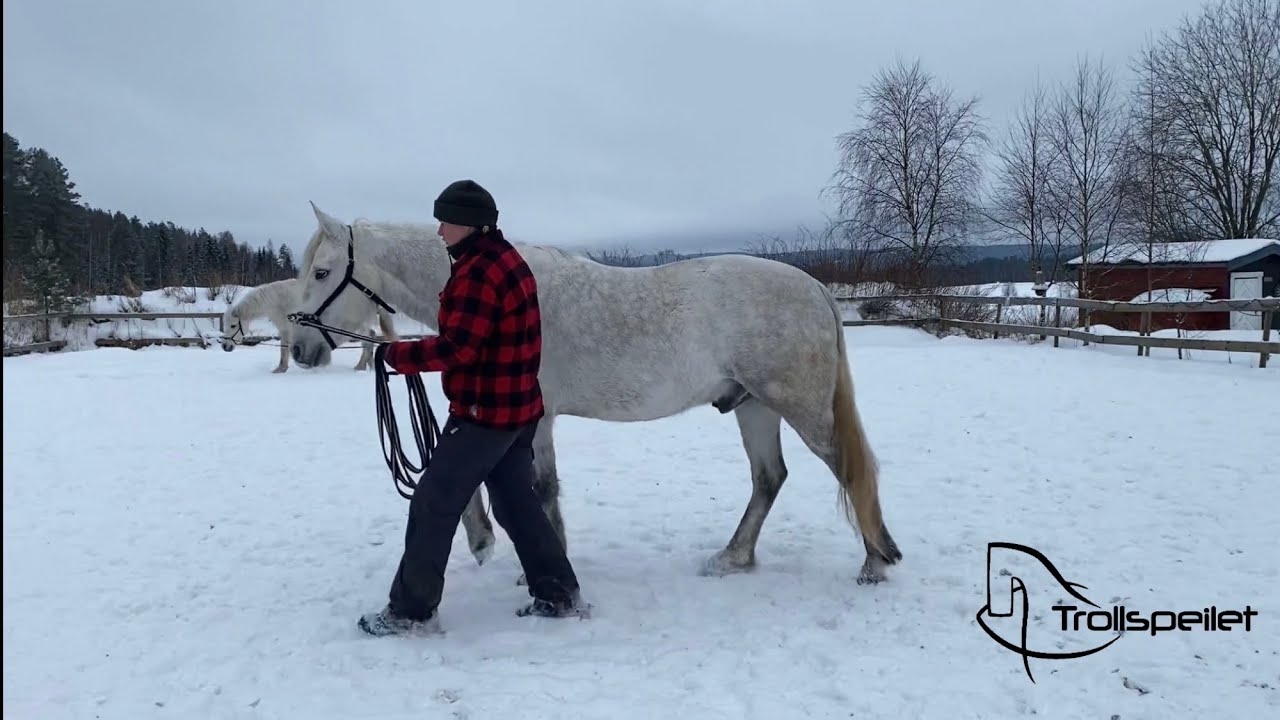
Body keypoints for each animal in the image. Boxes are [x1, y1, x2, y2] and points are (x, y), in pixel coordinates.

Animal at [219, 278, 398, 373]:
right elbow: (284, 349)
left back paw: (361, 366)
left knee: (368, 339)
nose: (225, 347)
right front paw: (281, 369)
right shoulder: (285, 328)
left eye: (233, 326)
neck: (280, 300)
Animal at [288, 204, 902, 586]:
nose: (300, 348)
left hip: (798, 406)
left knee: (849, 470)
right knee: (769, 478)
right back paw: (732, 558)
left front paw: (511, 553)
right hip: (753, 407)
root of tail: (815, 287)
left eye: (321, 272)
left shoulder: (528, 417)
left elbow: (531, 488)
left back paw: (874, 563)